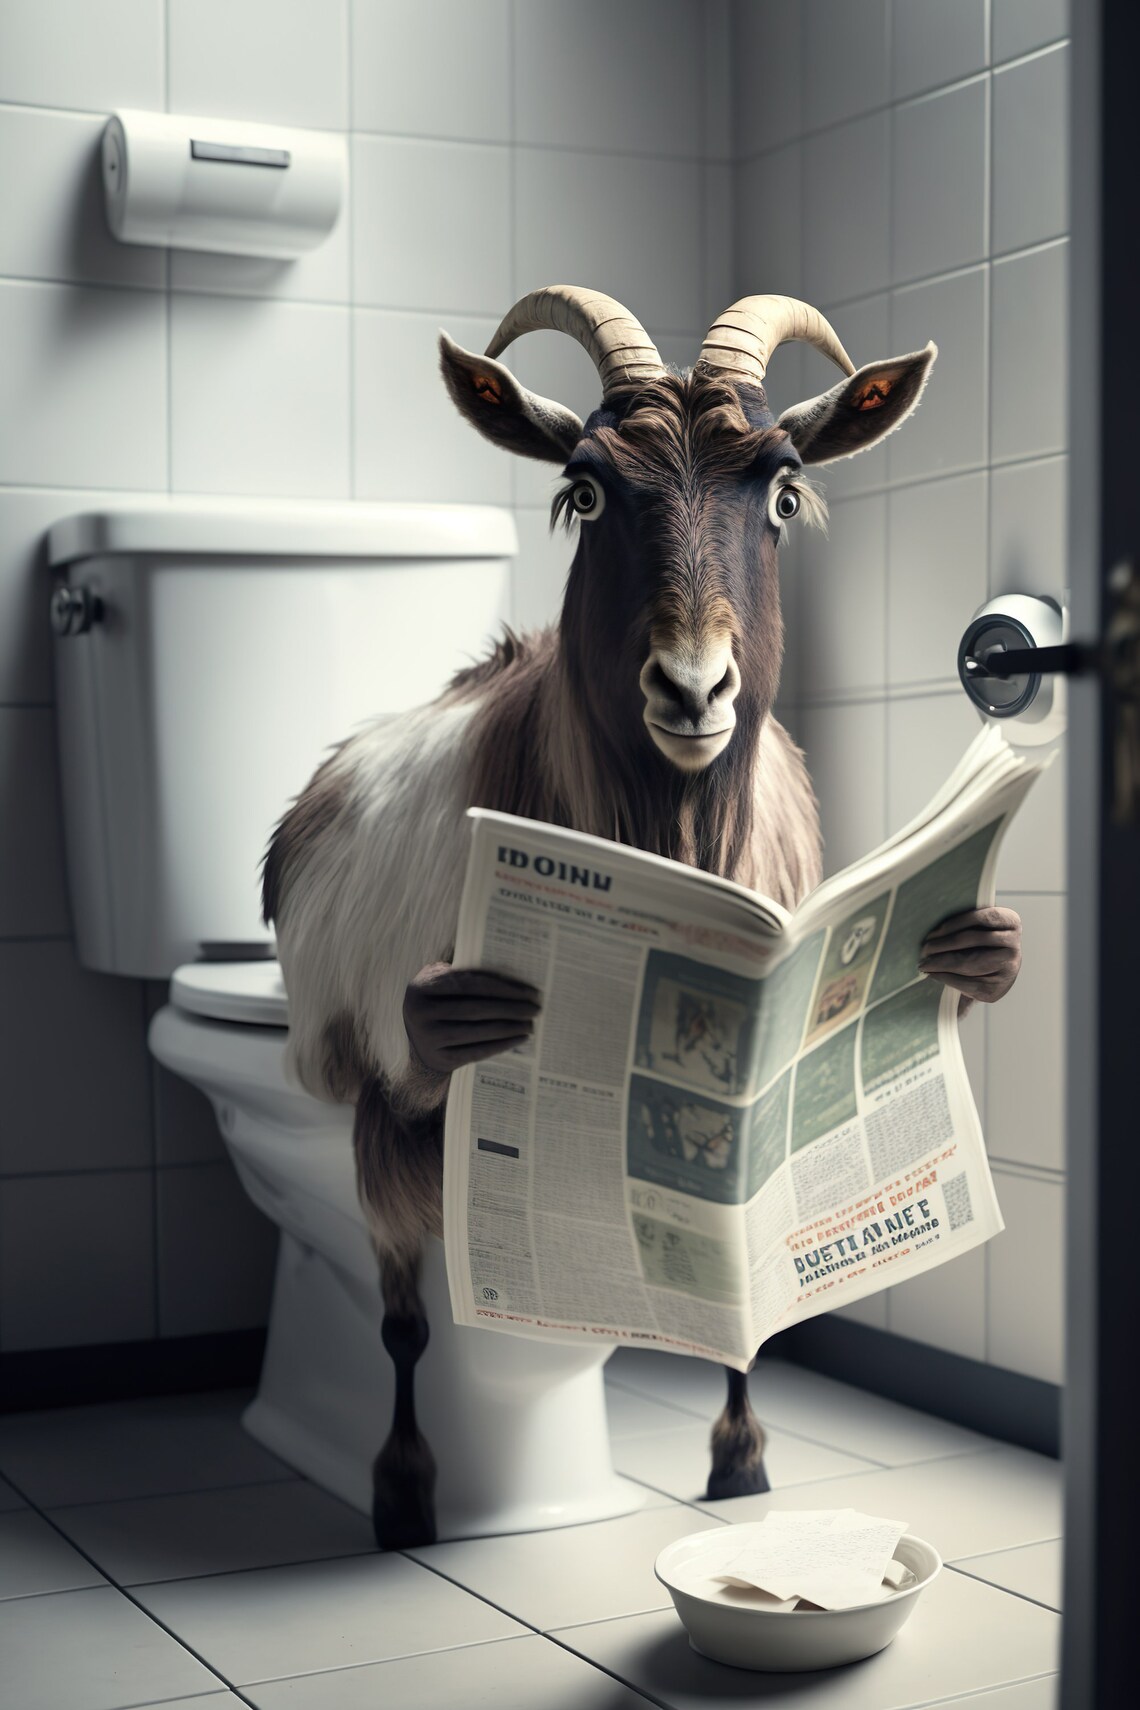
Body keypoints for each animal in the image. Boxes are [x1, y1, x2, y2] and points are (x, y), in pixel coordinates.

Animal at [262, 288, 1023, 1550]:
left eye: (781, 491)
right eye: (585, 488)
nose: (693, 689)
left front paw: (743, 1460)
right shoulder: (383, 1103)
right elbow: (402, 1317)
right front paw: (404, 1494)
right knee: (405, 1312)